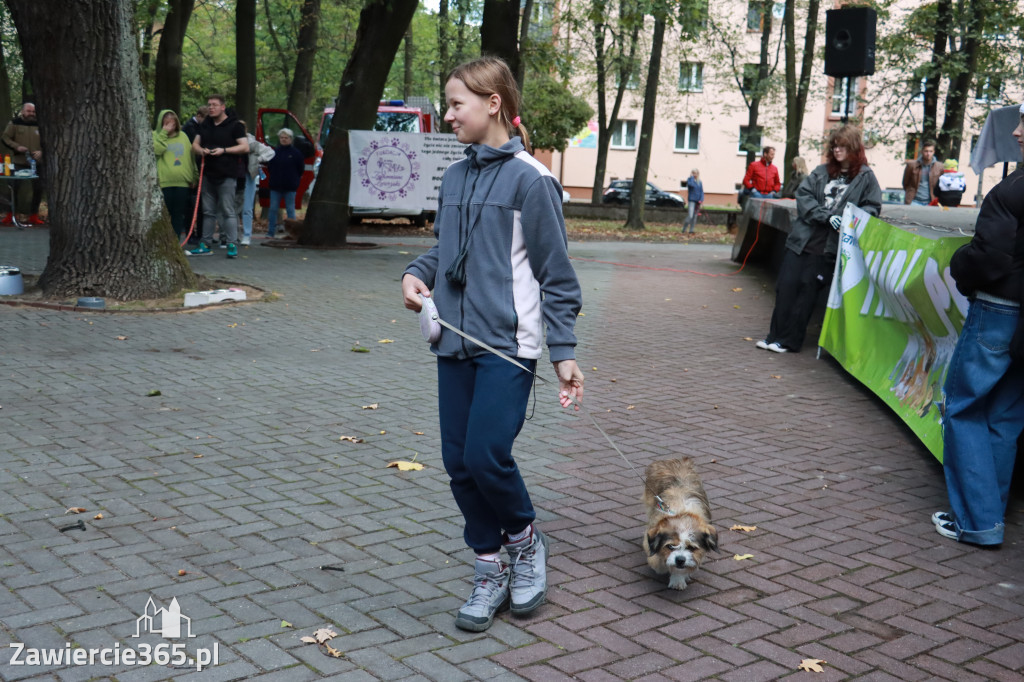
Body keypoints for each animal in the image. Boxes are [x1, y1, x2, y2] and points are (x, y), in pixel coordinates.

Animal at [643, 456, 716, 589]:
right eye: (670, 546)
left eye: (692, 547)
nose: (680, 560)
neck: (682, 515)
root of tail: (672, 459)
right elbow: (655, 559)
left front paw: (678, 579)